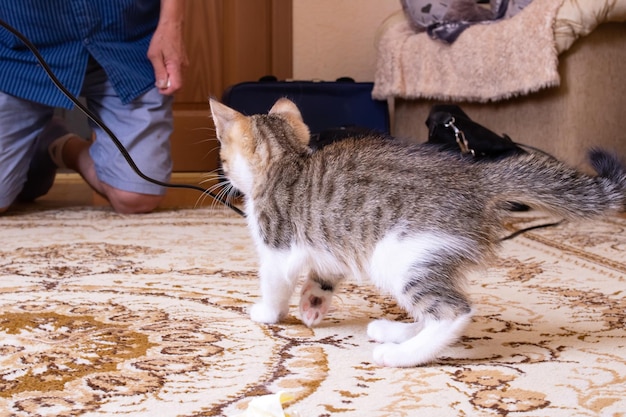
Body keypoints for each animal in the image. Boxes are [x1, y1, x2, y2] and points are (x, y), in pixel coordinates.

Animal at [208, 97, 624, 368]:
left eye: (224, 157)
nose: (224, 176)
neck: (286, 161)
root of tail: (476, 178)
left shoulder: (277, 246)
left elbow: (274, 283)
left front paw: (267, 313)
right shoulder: (332, 238)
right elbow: (326, 272)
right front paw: (313, 300)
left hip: (401, 256)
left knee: (453, 312)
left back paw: (401, 354)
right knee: (430, 311)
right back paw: (396, 332)